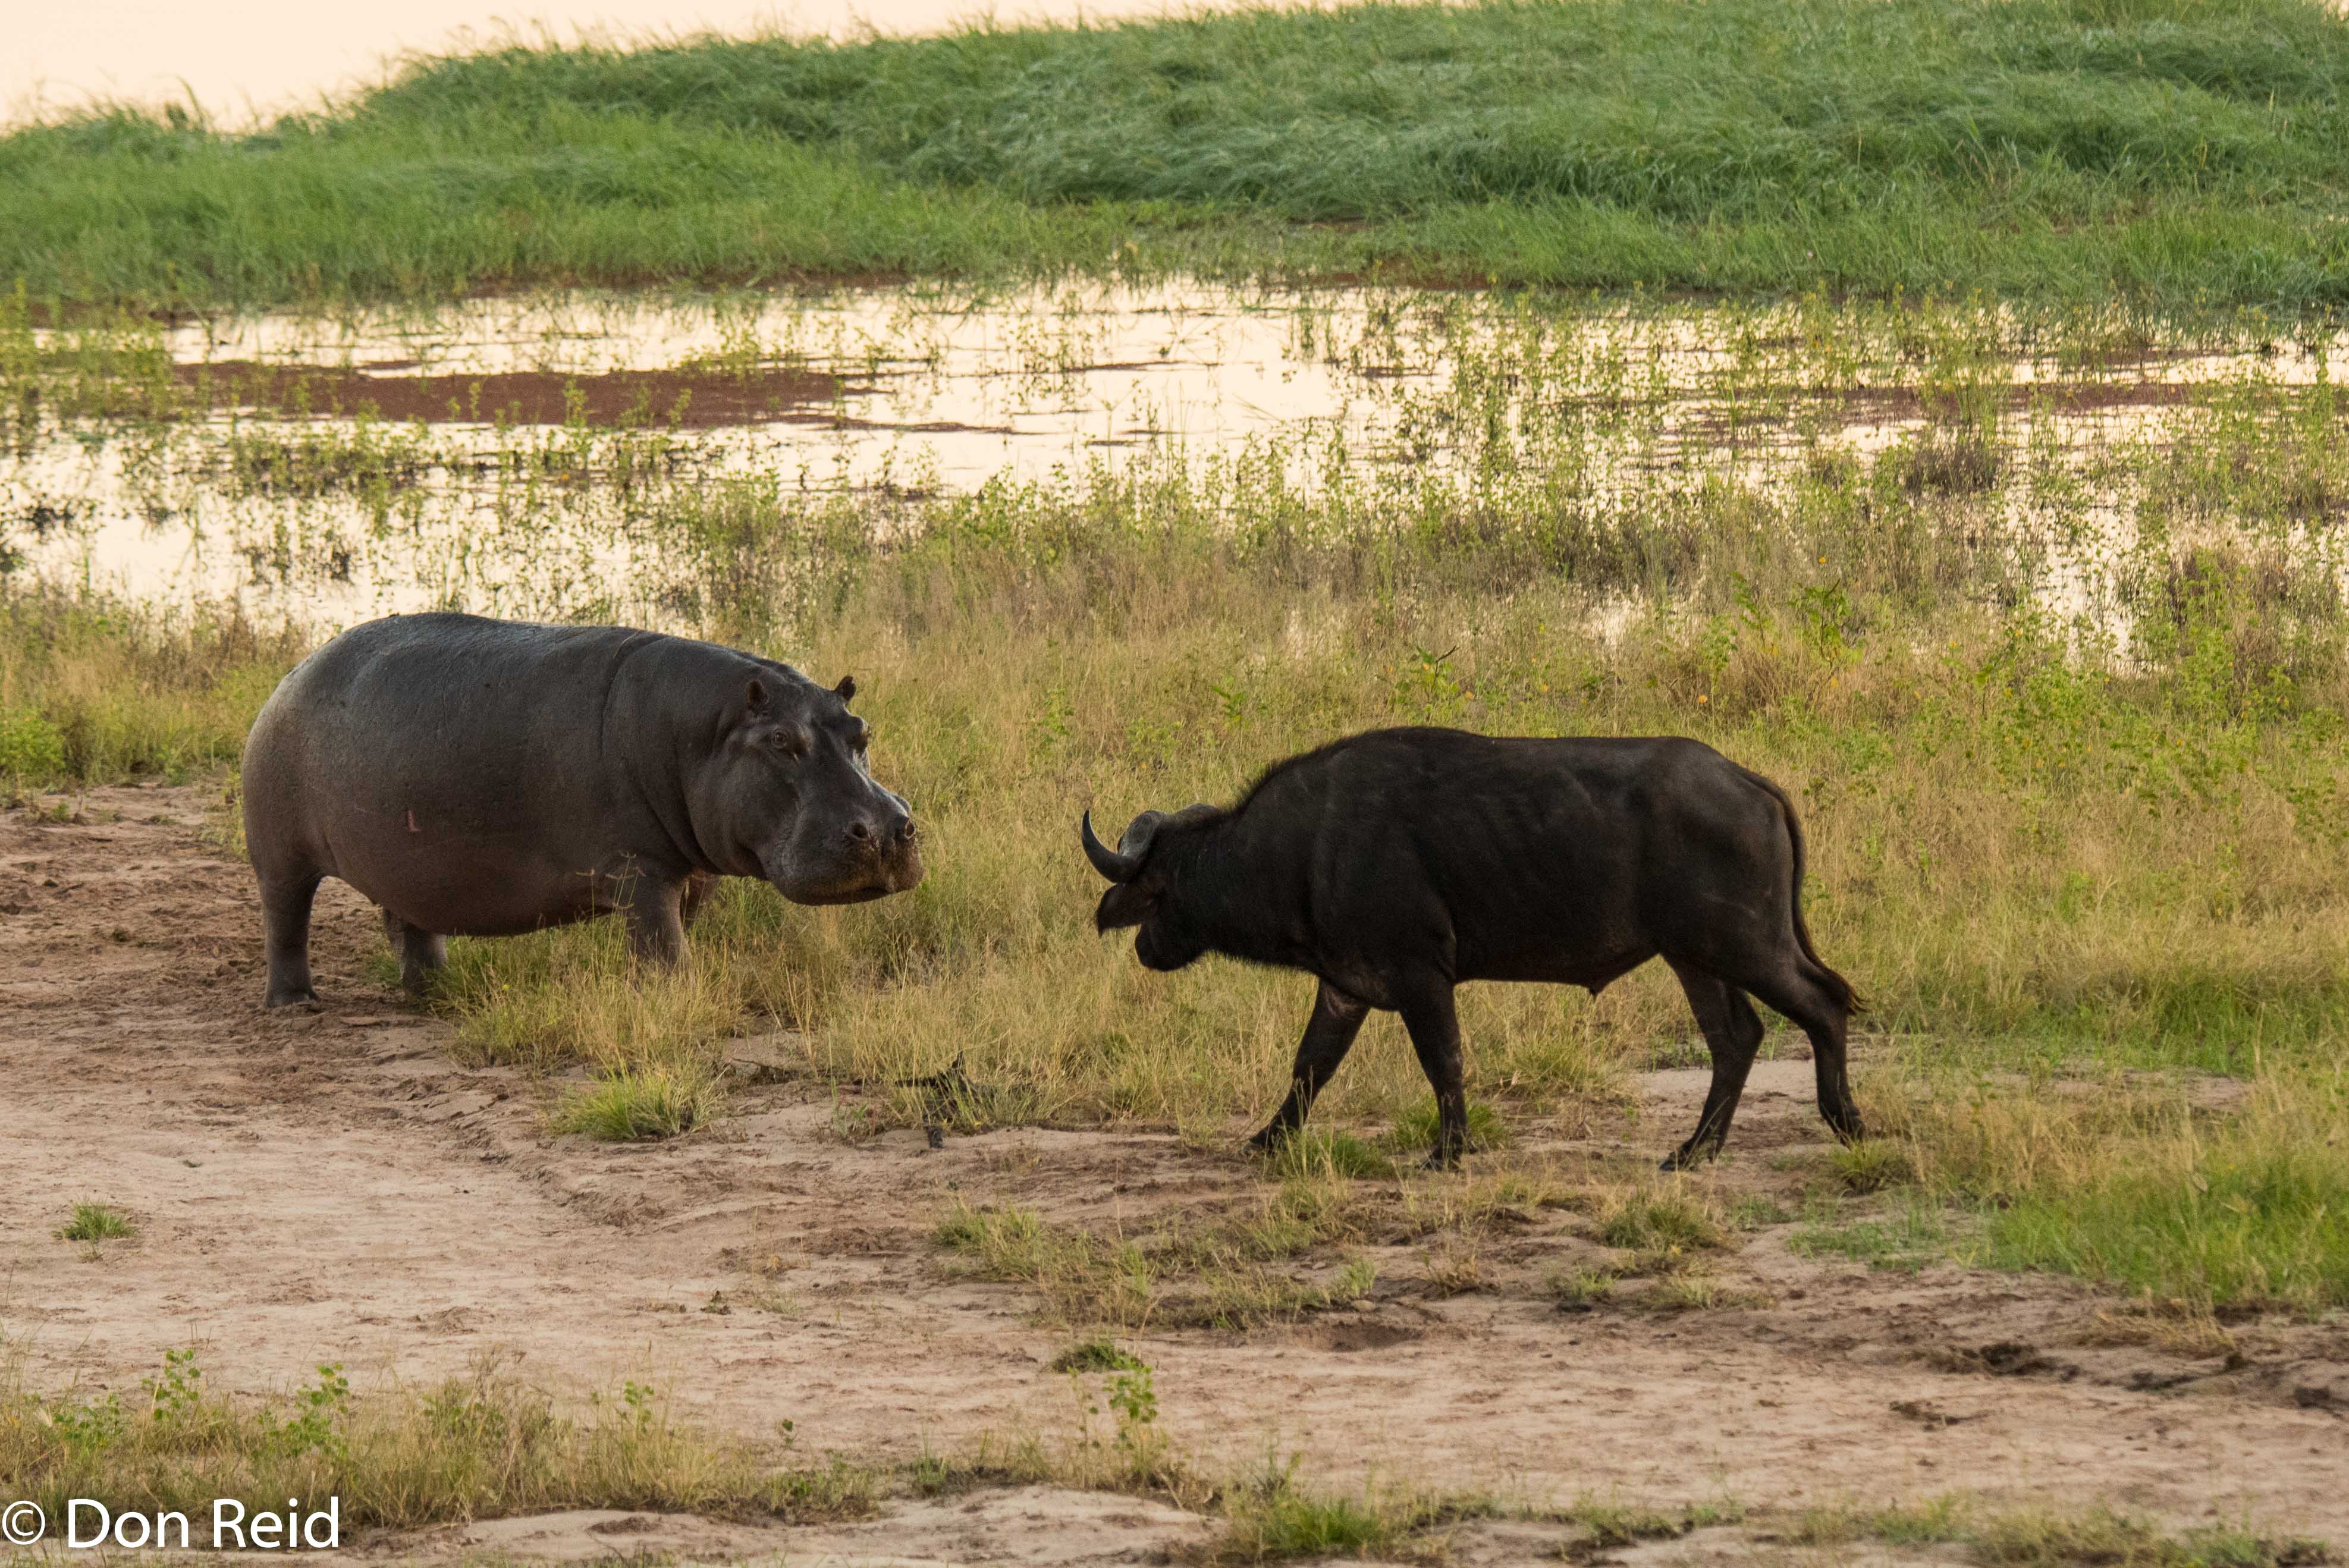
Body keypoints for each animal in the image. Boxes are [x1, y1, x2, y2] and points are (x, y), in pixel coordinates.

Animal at [242, 613, 921, 1008]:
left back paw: (433, 993)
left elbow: (674, 934)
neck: (704, 730)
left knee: (411, 925)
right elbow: (663, 945)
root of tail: (290, 676)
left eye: (861, 729)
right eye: (781, 741)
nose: (888, 833)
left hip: (405, 863)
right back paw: (296, 1004)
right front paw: (671, 1000)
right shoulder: (640, 871)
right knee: (286, 922)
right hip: (280, 855)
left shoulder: (692, 873)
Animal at [1081, 727, 1861, 1169]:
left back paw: (1844, 1121)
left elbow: (1443, 1062)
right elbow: (1308, 1069)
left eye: (1159, 885)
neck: (1305, 848)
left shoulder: (1421, 977)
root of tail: (1749, 784)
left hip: (1743, 942)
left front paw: (1448, 1150)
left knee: (1822, 1005)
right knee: (1736, 1037)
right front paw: (1267, 1140)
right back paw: (1695, 1151)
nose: (1142, 947)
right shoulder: (1344, 988)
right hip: (1694, 957)